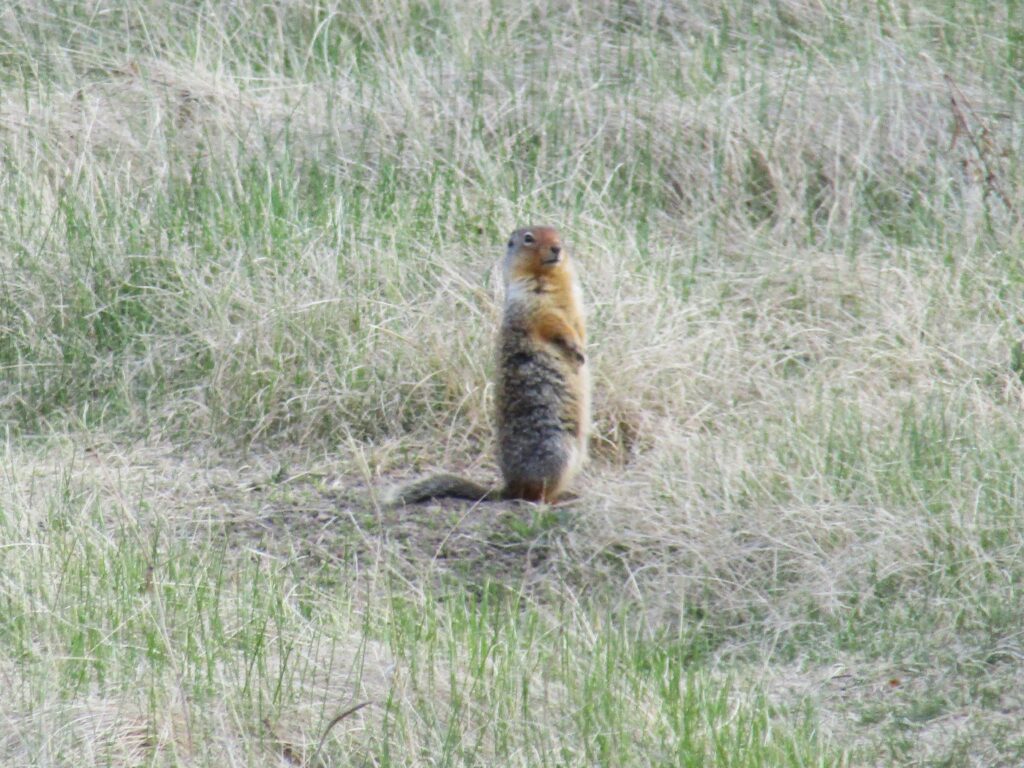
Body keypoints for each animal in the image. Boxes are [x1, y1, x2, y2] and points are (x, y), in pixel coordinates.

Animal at [391, 225, 593, 507]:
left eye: (558, 234)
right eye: (528, 238)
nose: (557, 248)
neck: (550, 279)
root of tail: (509, 487)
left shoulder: (576, 303)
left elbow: (579, 325)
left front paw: (583, 351)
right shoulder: (533, 305)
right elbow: (556, 325)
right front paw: (575, 349)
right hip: (558, 449)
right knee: (535, 496)